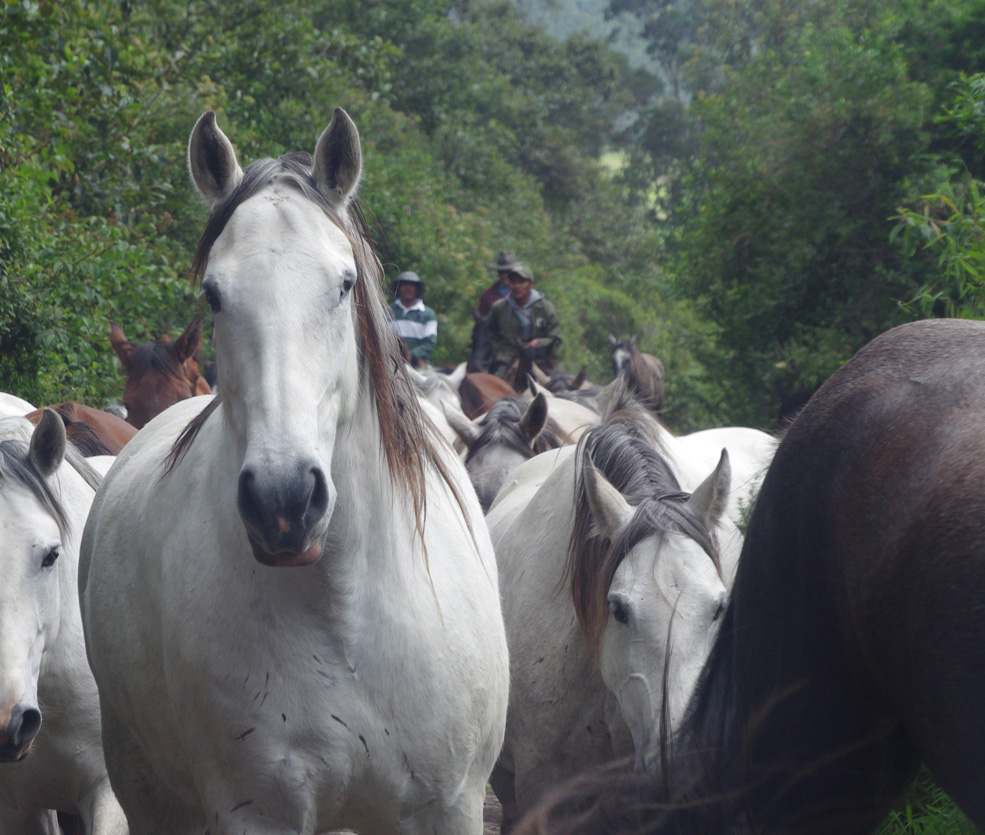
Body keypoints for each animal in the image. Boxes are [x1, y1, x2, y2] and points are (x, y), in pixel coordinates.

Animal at [78, 108, 508, 832]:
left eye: (344, 283)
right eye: (213, 293)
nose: (283, 502)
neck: (344, 616)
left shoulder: (447, 806)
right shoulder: (256, 811)